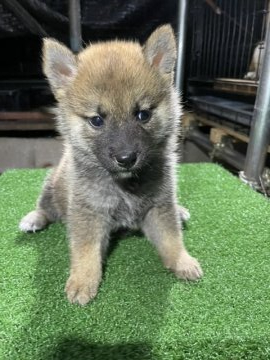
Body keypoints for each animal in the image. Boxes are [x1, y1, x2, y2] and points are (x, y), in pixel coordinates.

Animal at [19, 25, 202, 306]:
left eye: (143, 115)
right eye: (97, 120)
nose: (126, 158)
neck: (126, 185)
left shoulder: (160, 206)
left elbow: (171, 239)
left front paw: (183, 261)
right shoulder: (89, 213)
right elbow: (86, 251)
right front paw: (83, 281)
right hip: (52, 185)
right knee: (47, 208)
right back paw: (33, 219)